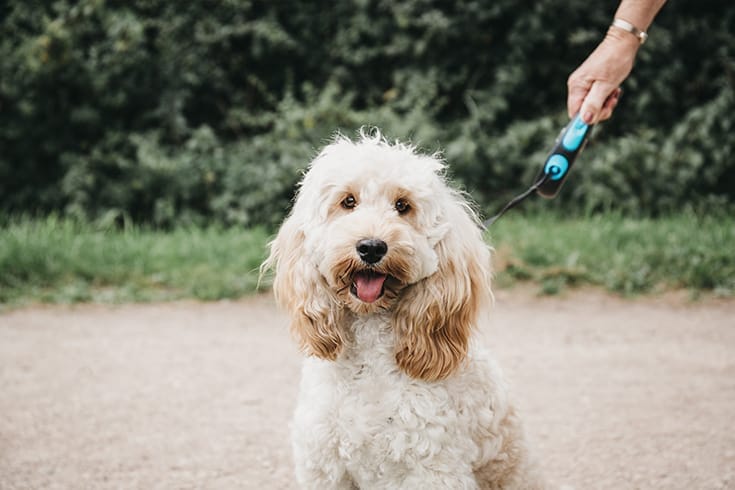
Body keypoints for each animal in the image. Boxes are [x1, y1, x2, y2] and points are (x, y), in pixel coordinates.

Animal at [264, 131, 548, 490]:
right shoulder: (326, 469)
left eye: (403, 206)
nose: (371, 247)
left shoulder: (432, 471)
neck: (369, 358)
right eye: (348, 201)